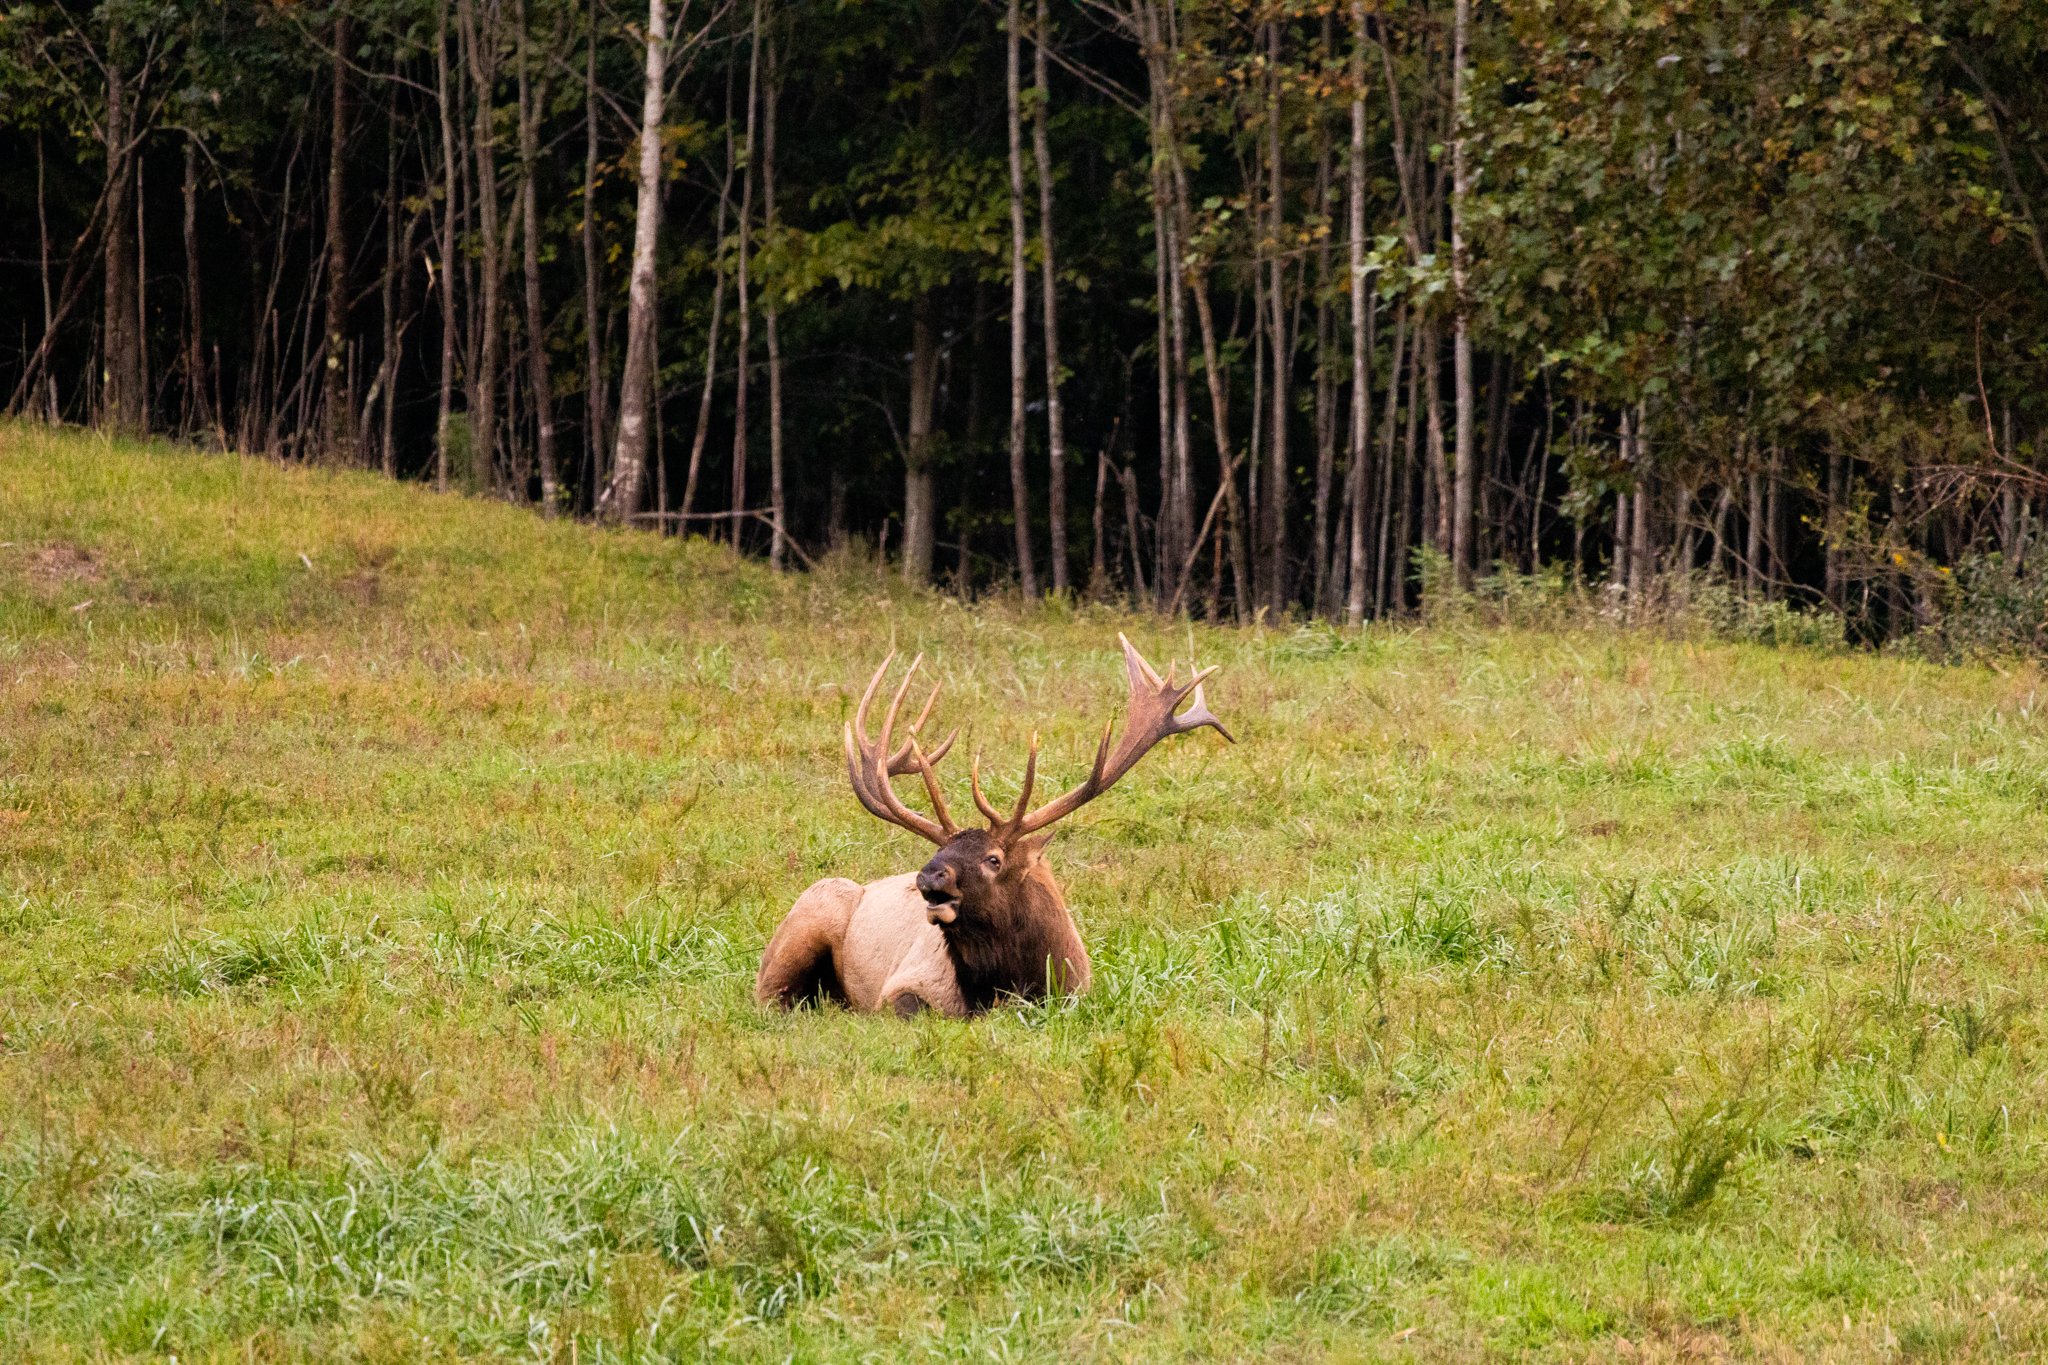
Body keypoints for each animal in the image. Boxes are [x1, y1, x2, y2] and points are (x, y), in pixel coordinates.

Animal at [756, 635, 1232, 1018]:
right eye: (936, 852)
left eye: (993, 859)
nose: (928, 876)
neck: (1016, 983)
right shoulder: (904, 984)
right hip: (807, 916)